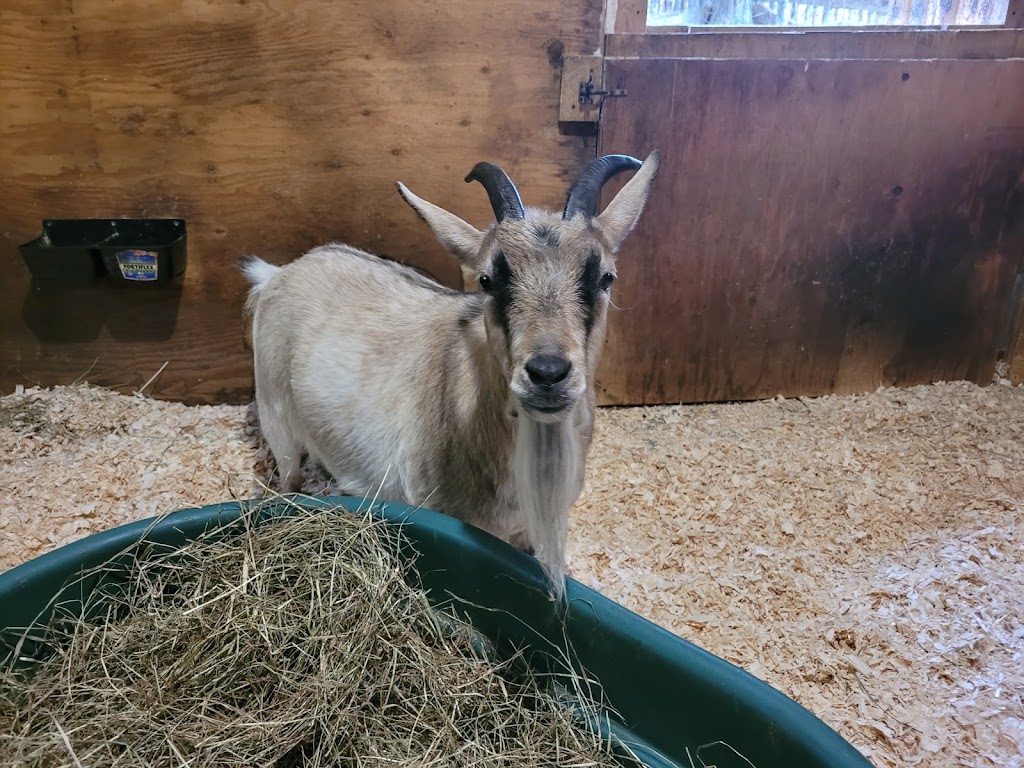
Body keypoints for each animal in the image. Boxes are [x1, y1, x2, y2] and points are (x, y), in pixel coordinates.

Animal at [239, 153, 659, 602]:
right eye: (488, 280)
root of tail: (277, 273)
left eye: (605, 277)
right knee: (287, 477)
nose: (547, 373)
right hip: (277, 418)